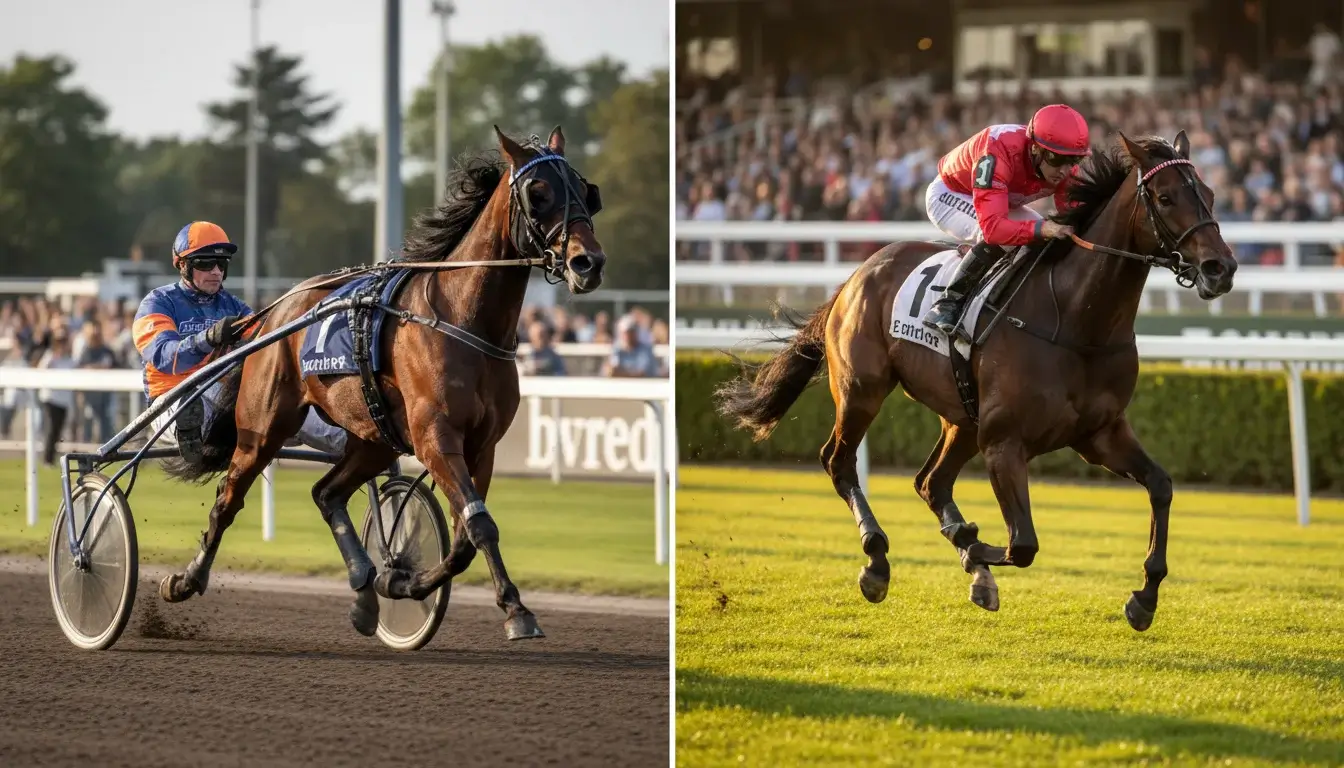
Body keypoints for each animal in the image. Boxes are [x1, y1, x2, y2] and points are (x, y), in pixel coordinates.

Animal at [158, 126, 606, 641]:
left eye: (586, 192)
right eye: (538, 193)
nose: (588, 263)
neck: (464, 320)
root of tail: (272, 313)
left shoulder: (483, 444)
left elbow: (464, 538)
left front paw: (403, 579)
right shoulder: (435, 436)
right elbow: (480, 526)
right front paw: (516, 611)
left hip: (373, 437)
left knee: (327, 493)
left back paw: (365, 592)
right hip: (263, 428)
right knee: (227, 500)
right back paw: (186, 580)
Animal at [714, 131, 1236, 631]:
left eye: (1210, 194)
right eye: (1165, 197)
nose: (1222, 269)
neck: (1075, 320)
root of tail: (858, 273)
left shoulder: (1100, 433)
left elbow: (1161, 486)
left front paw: (1144, 597)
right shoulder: (1004, 442)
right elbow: (1023, 544)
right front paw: (971, 543)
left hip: (961, 418)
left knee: (931, 483)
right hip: (863, 390)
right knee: (840, 462)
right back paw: (878, 559)